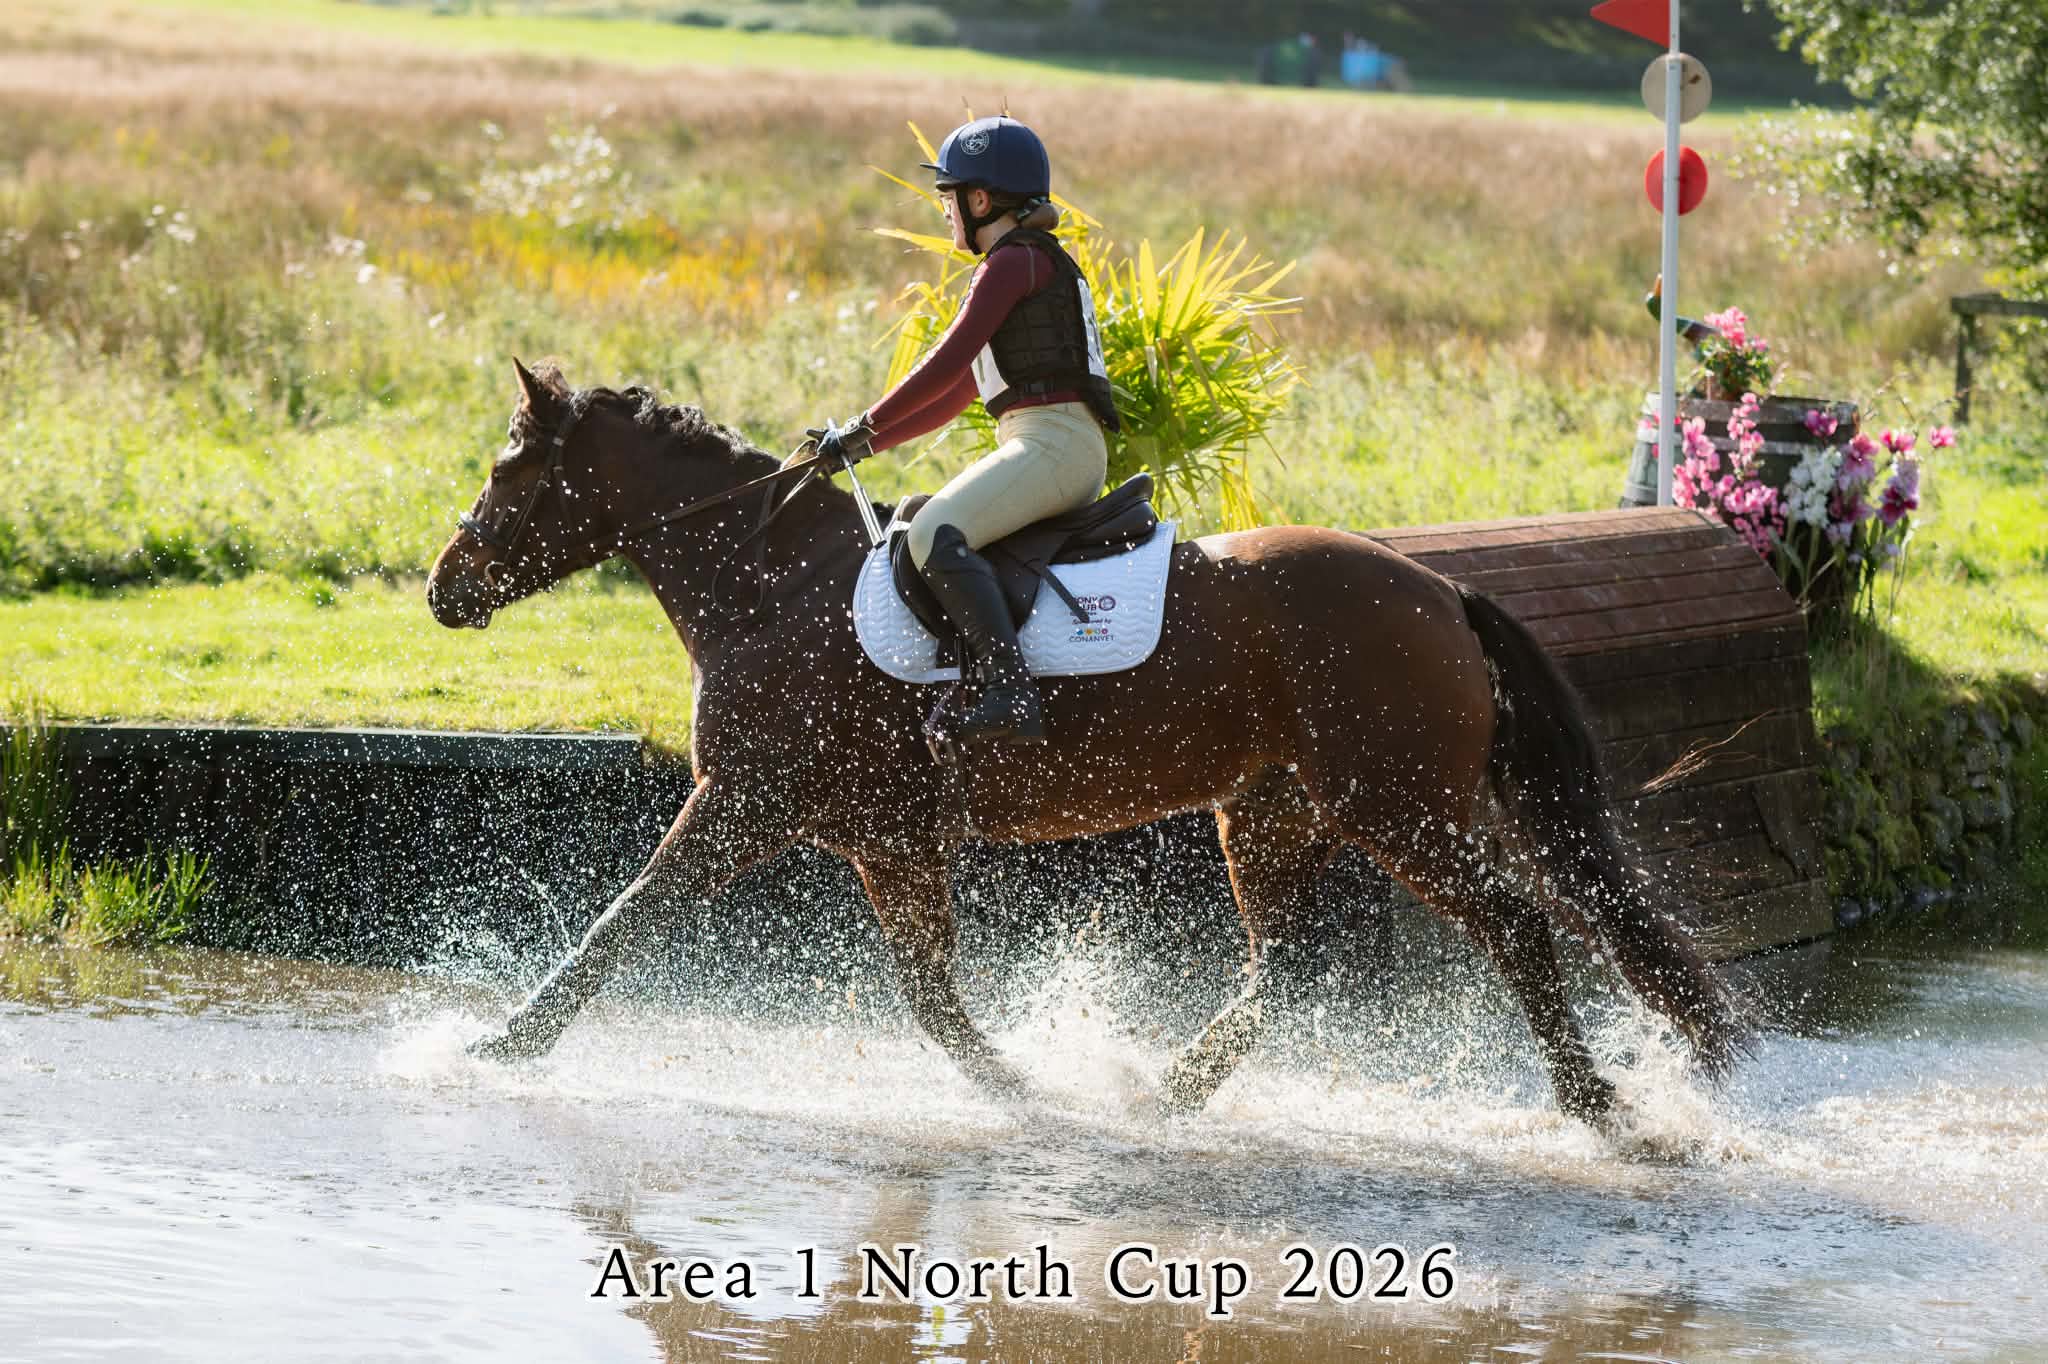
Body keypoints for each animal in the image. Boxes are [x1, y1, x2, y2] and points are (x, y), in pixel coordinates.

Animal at [427, 359, 1746, 1125]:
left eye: (505, 467)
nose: (445, 588)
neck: (772, 588)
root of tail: (1432, 589)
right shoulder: (882, 839)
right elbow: (931, 995)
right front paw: (1028, 1081)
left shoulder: (743, 800)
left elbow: (621, 920)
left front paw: (496, 1043)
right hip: (1273, 812)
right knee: (1281, 963)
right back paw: (1160, 1088)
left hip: (1396, 808)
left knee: (1512, 924)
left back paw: (1597, 1106)